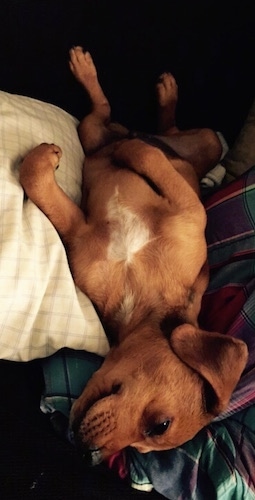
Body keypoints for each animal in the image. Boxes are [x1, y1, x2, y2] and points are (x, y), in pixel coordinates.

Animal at [19, 47, 247, 464]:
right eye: (161, 424)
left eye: (151, 435)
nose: (90, 455)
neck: (139, 298)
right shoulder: (190, 213)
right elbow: (153, 162)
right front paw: (132, 151)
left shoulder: (79, 234)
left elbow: (41, 188)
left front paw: (43, 165)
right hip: (196, 140)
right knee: (141, 131)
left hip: (110, 135)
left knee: (111, 117)